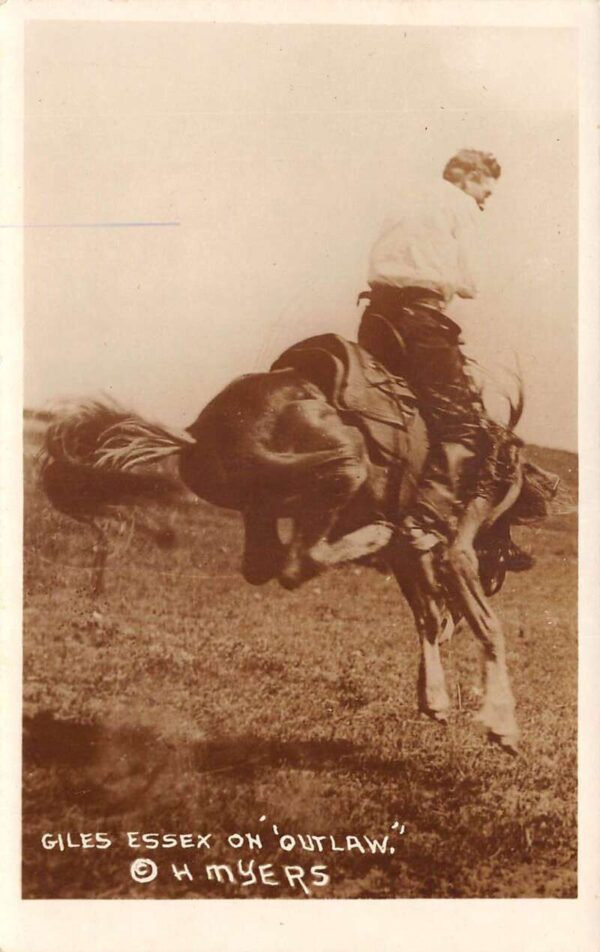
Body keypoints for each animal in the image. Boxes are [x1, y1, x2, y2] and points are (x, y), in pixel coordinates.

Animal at [39, 332, 560, 752]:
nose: (518, 559)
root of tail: (198, 434)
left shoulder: (414, 556)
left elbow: (429, 616)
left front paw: (433, 700)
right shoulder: (455, 549)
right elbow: (483, 624)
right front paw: (502, 726)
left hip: (266, 507)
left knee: (266, 564)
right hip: (345, 464)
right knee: (297, 561)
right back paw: (372, 535)